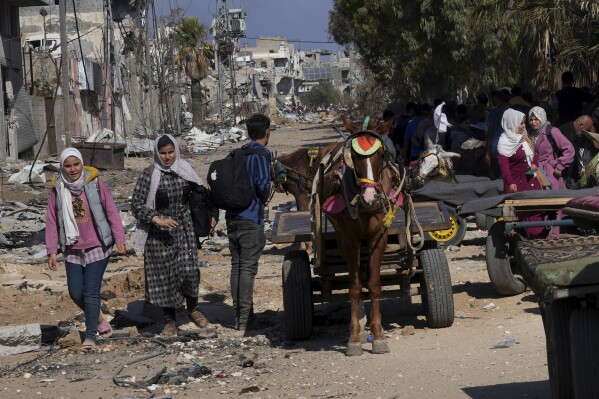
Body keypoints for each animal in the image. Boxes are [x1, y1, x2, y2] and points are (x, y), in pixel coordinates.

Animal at [316, 115, 420, 356]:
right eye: (353, 157)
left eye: (381, 155)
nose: (370, 197)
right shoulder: (350, 240)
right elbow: (354, 288)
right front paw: (354, 338)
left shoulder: (378, 237)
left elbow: (373, 284)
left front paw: (379, 335)